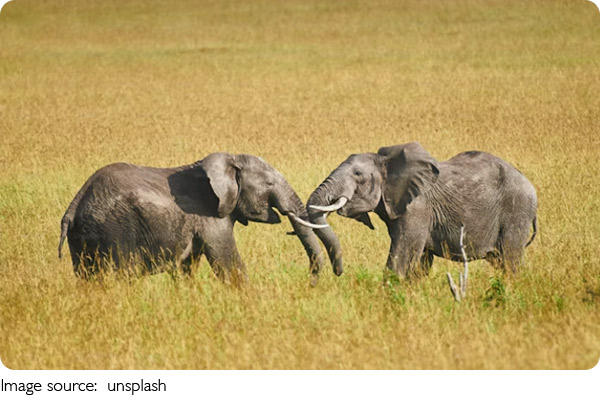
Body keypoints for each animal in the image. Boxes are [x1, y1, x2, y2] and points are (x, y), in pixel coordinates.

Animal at [58, 153, 326, 284]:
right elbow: (228, 263)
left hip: (85, 235)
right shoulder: (210, 215)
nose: (310, 281)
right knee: (123, 272)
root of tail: (74, 204)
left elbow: (186, 267)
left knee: (86, 276)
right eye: (269, 184)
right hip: (114, 226)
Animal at [306, 142, 537, 280]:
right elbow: (419, 264)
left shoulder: (417, 208)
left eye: (357, 174)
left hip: (517, 210)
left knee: (510, 260)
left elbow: (401, 258)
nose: (338, 273)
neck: (387, 163)